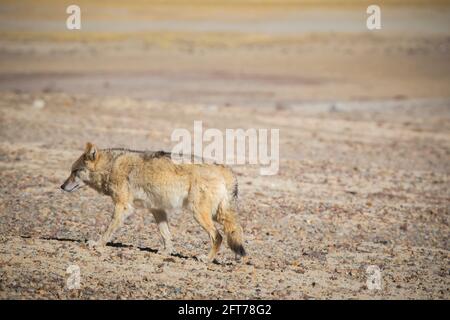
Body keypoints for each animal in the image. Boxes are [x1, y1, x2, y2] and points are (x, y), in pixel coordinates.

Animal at [60, 142, 246, 262]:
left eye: (75, 172)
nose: (61, 186)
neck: (111, 166)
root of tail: (224, 168)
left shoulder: (123, 206)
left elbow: (108, 229)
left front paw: (98, 244)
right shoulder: (157, 210)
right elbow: (166, 235)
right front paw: (167, 252)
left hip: (199, 214)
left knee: (218, 236)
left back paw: (206, 259)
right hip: (216, 215)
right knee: (237, 231)